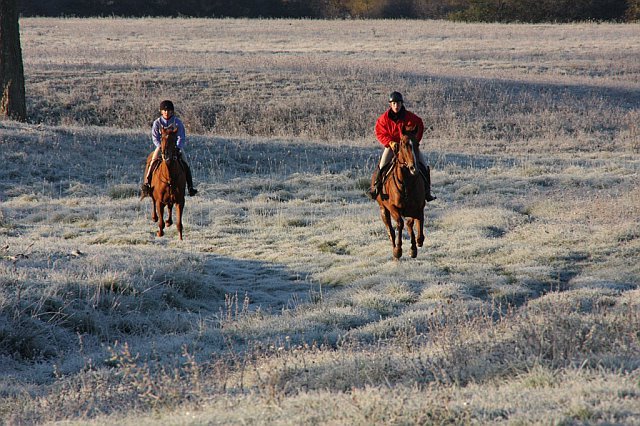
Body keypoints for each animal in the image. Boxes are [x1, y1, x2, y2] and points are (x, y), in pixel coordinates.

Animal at [370, 126, 424, 260]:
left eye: (417, 144)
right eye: (403, 145)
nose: (414, 168)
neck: (407, 183)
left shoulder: (418, 206)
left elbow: (415, 221)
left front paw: (415, 245)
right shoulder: (393, 207)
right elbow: (400, 224)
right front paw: (398, 250)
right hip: (383, 209)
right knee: (391, 231)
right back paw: (395, 249)